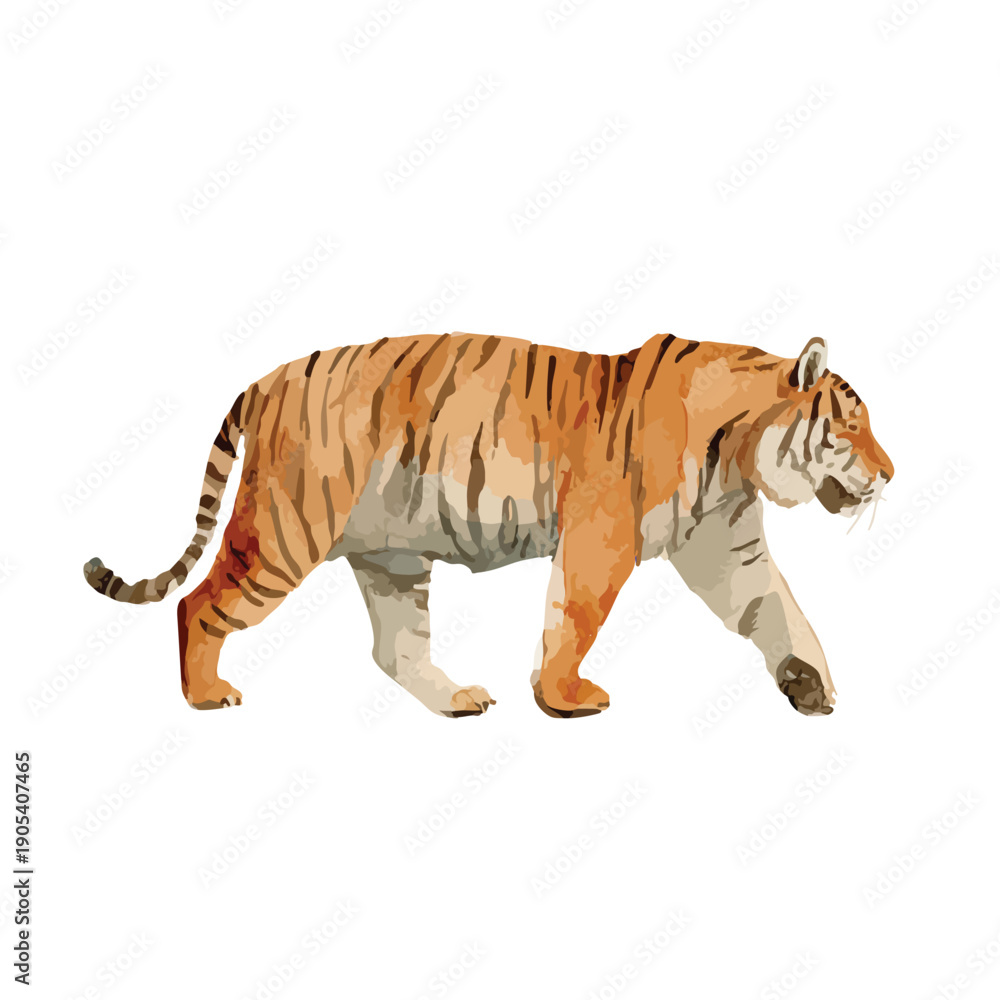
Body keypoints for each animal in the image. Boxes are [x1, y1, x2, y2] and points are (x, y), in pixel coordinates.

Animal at [83, 332, 893, 718]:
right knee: (198, 603)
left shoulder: (728, 546)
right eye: (851, 428)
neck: (737, 455)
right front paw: (565, 699)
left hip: (391, 552)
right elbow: (576, 616)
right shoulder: (603, 536)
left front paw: (812, 685)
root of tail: (264, 379)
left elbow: (780, 611)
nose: (890, 474)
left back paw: (456, 700)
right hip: (285, 531)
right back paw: (205, 695)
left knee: (394, 648)